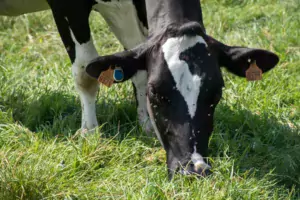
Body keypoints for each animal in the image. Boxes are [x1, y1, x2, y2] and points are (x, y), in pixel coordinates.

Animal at [1, 0, 280, 178]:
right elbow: (85, 72)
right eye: (157, 94)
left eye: (217, 94)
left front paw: (146, 126)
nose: (193, 168)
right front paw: (90, 133)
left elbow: (137, 62)